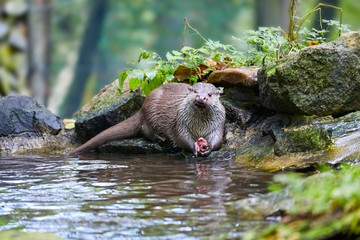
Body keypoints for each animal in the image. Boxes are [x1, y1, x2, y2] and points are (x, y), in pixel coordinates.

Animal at [70, 82, 225, 157]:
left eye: (210, 94)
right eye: (195, 92)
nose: (201, 98)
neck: (199, 125)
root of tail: (142, 107)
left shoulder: (218, 123)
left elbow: (217, 138)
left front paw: (208, 148)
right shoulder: (180, 122)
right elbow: (181, 137)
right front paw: (194, 148)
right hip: (151, 113)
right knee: (145, 129)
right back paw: (160, 138)